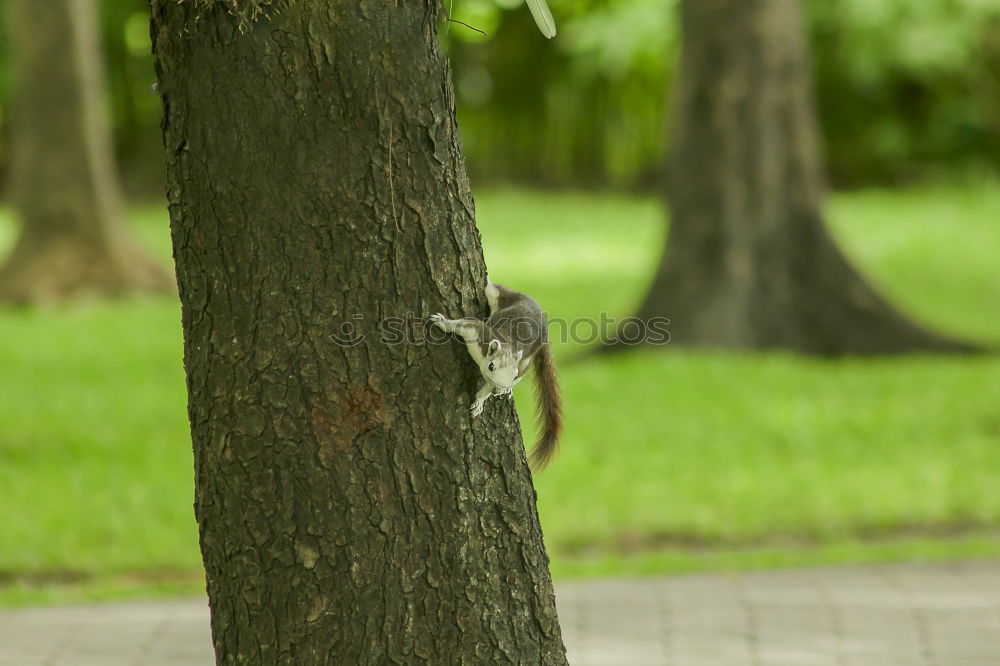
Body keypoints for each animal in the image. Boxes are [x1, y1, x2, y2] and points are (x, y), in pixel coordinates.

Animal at [432, 280, 564, 466]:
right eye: (491, 366)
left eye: (514, 376)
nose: (498, 390)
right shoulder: (479, 333)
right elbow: (465, 324)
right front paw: (443, 322)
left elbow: (487, 388)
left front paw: (481, 400)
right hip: (500, 295)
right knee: (493, 288)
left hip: (526, 361)